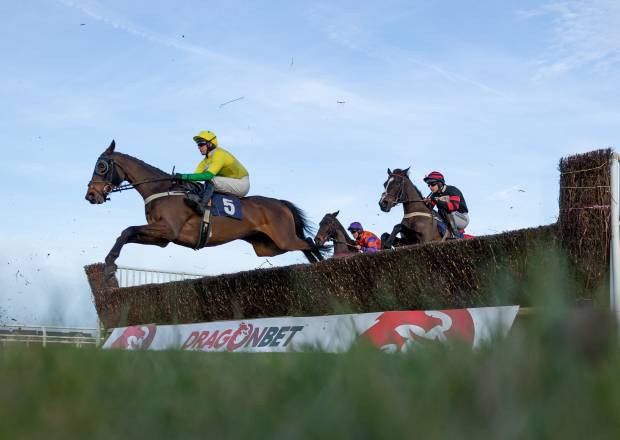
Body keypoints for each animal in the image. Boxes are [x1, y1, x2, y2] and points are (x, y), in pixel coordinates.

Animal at [86, 141, 324, 278]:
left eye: (101, 166)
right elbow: (127, 234)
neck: (162, 189)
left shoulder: (168, 228)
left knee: (309, 242)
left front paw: (109, 264)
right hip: (269, 247)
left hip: (283, 239)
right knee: (305, 245)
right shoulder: (161, 238)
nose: (90, 195)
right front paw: (110, 263)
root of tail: (281, 203)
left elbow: (126, 230)